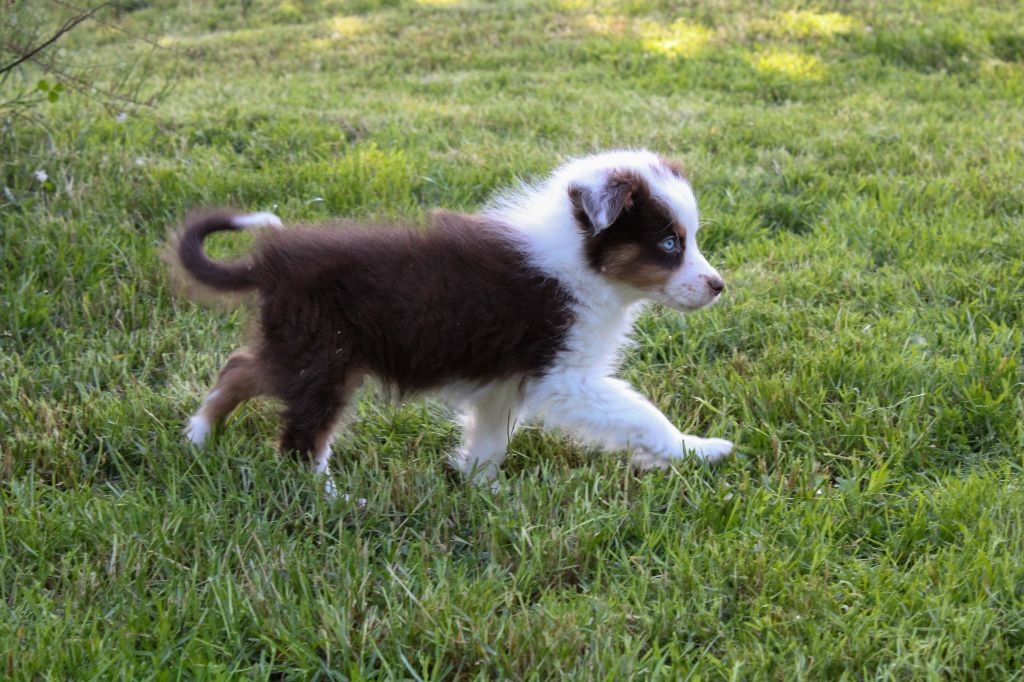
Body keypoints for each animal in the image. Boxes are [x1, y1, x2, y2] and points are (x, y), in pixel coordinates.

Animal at [172, 149, 733, 492]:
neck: (580, 262)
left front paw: (482, 489)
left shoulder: (505, 384)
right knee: (300, 442)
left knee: (240, 366)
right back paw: (335, 500)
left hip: (297, 347)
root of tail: (269, 263)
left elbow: (490, 439)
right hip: (325, 359)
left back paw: (198, 436)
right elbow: (642, 414)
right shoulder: (564, 376)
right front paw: (699, 449)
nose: (718, 285)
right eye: (669, 244)